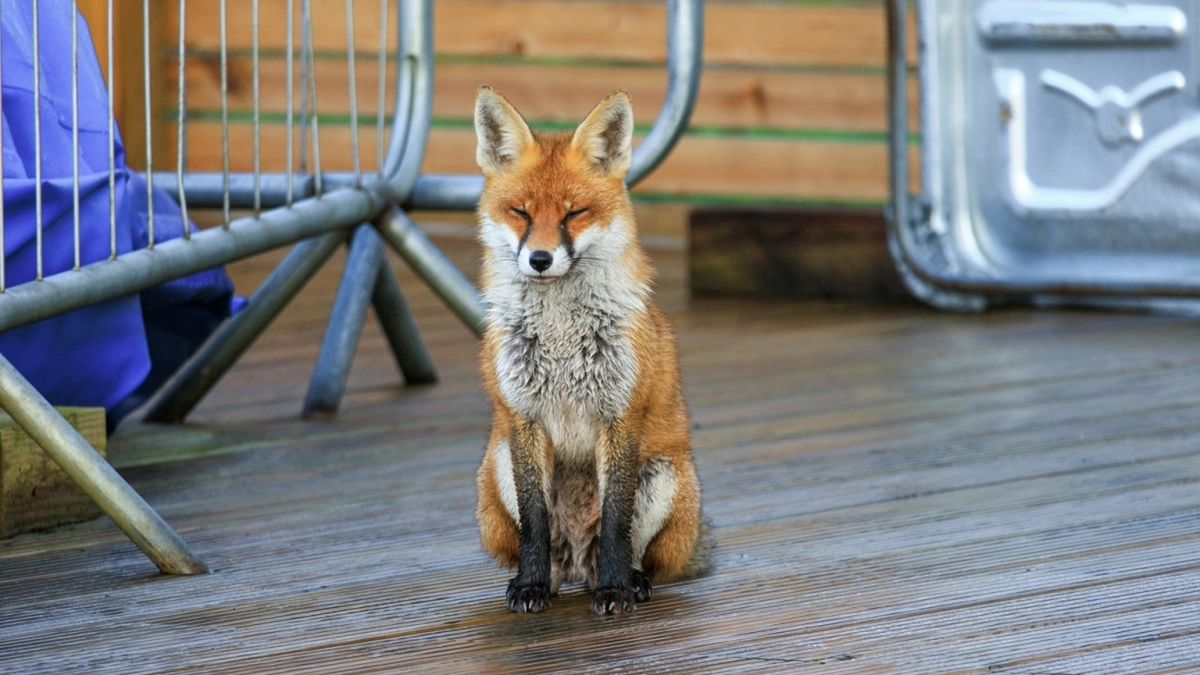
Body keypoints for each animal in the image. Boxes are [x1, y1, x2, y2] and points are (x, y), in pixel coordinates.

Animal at [472, 86, 712, 615]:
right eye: (521, 212)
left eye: (573, 213)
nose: (540, 259)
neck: (561, 337)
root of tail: (577, 567)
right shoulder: (523, 417)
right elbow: (535, 521)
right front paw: (530, 585)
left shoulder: (619, 415)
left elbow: (616, 519)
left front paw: (617, 587)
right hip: (495, 469)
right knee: (547, 550)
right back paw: (548, 581)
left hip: (664, 474)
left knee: (626, 547)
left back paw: (628, 581)